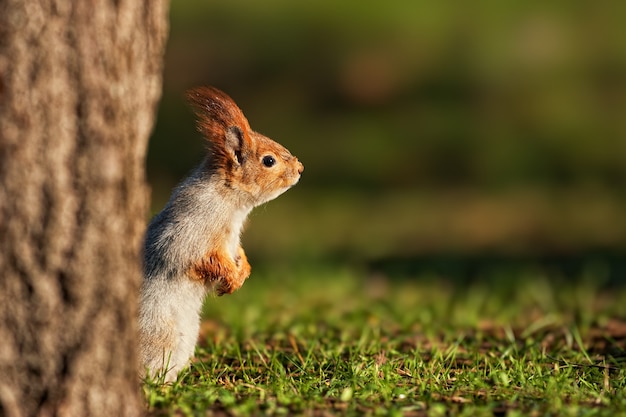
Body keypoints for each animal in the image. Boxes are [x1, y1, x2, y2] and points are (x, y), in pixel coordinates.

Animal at [138, 86, 302, 382]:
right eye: (268, 161)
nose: (300, 169)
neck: (232, 204)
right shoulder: (188, 230)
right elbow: (200, 258)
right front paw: (230, 277)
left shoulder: (232, 240)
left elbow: (238, 253)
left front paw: (243, 271)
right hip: (162, 336)